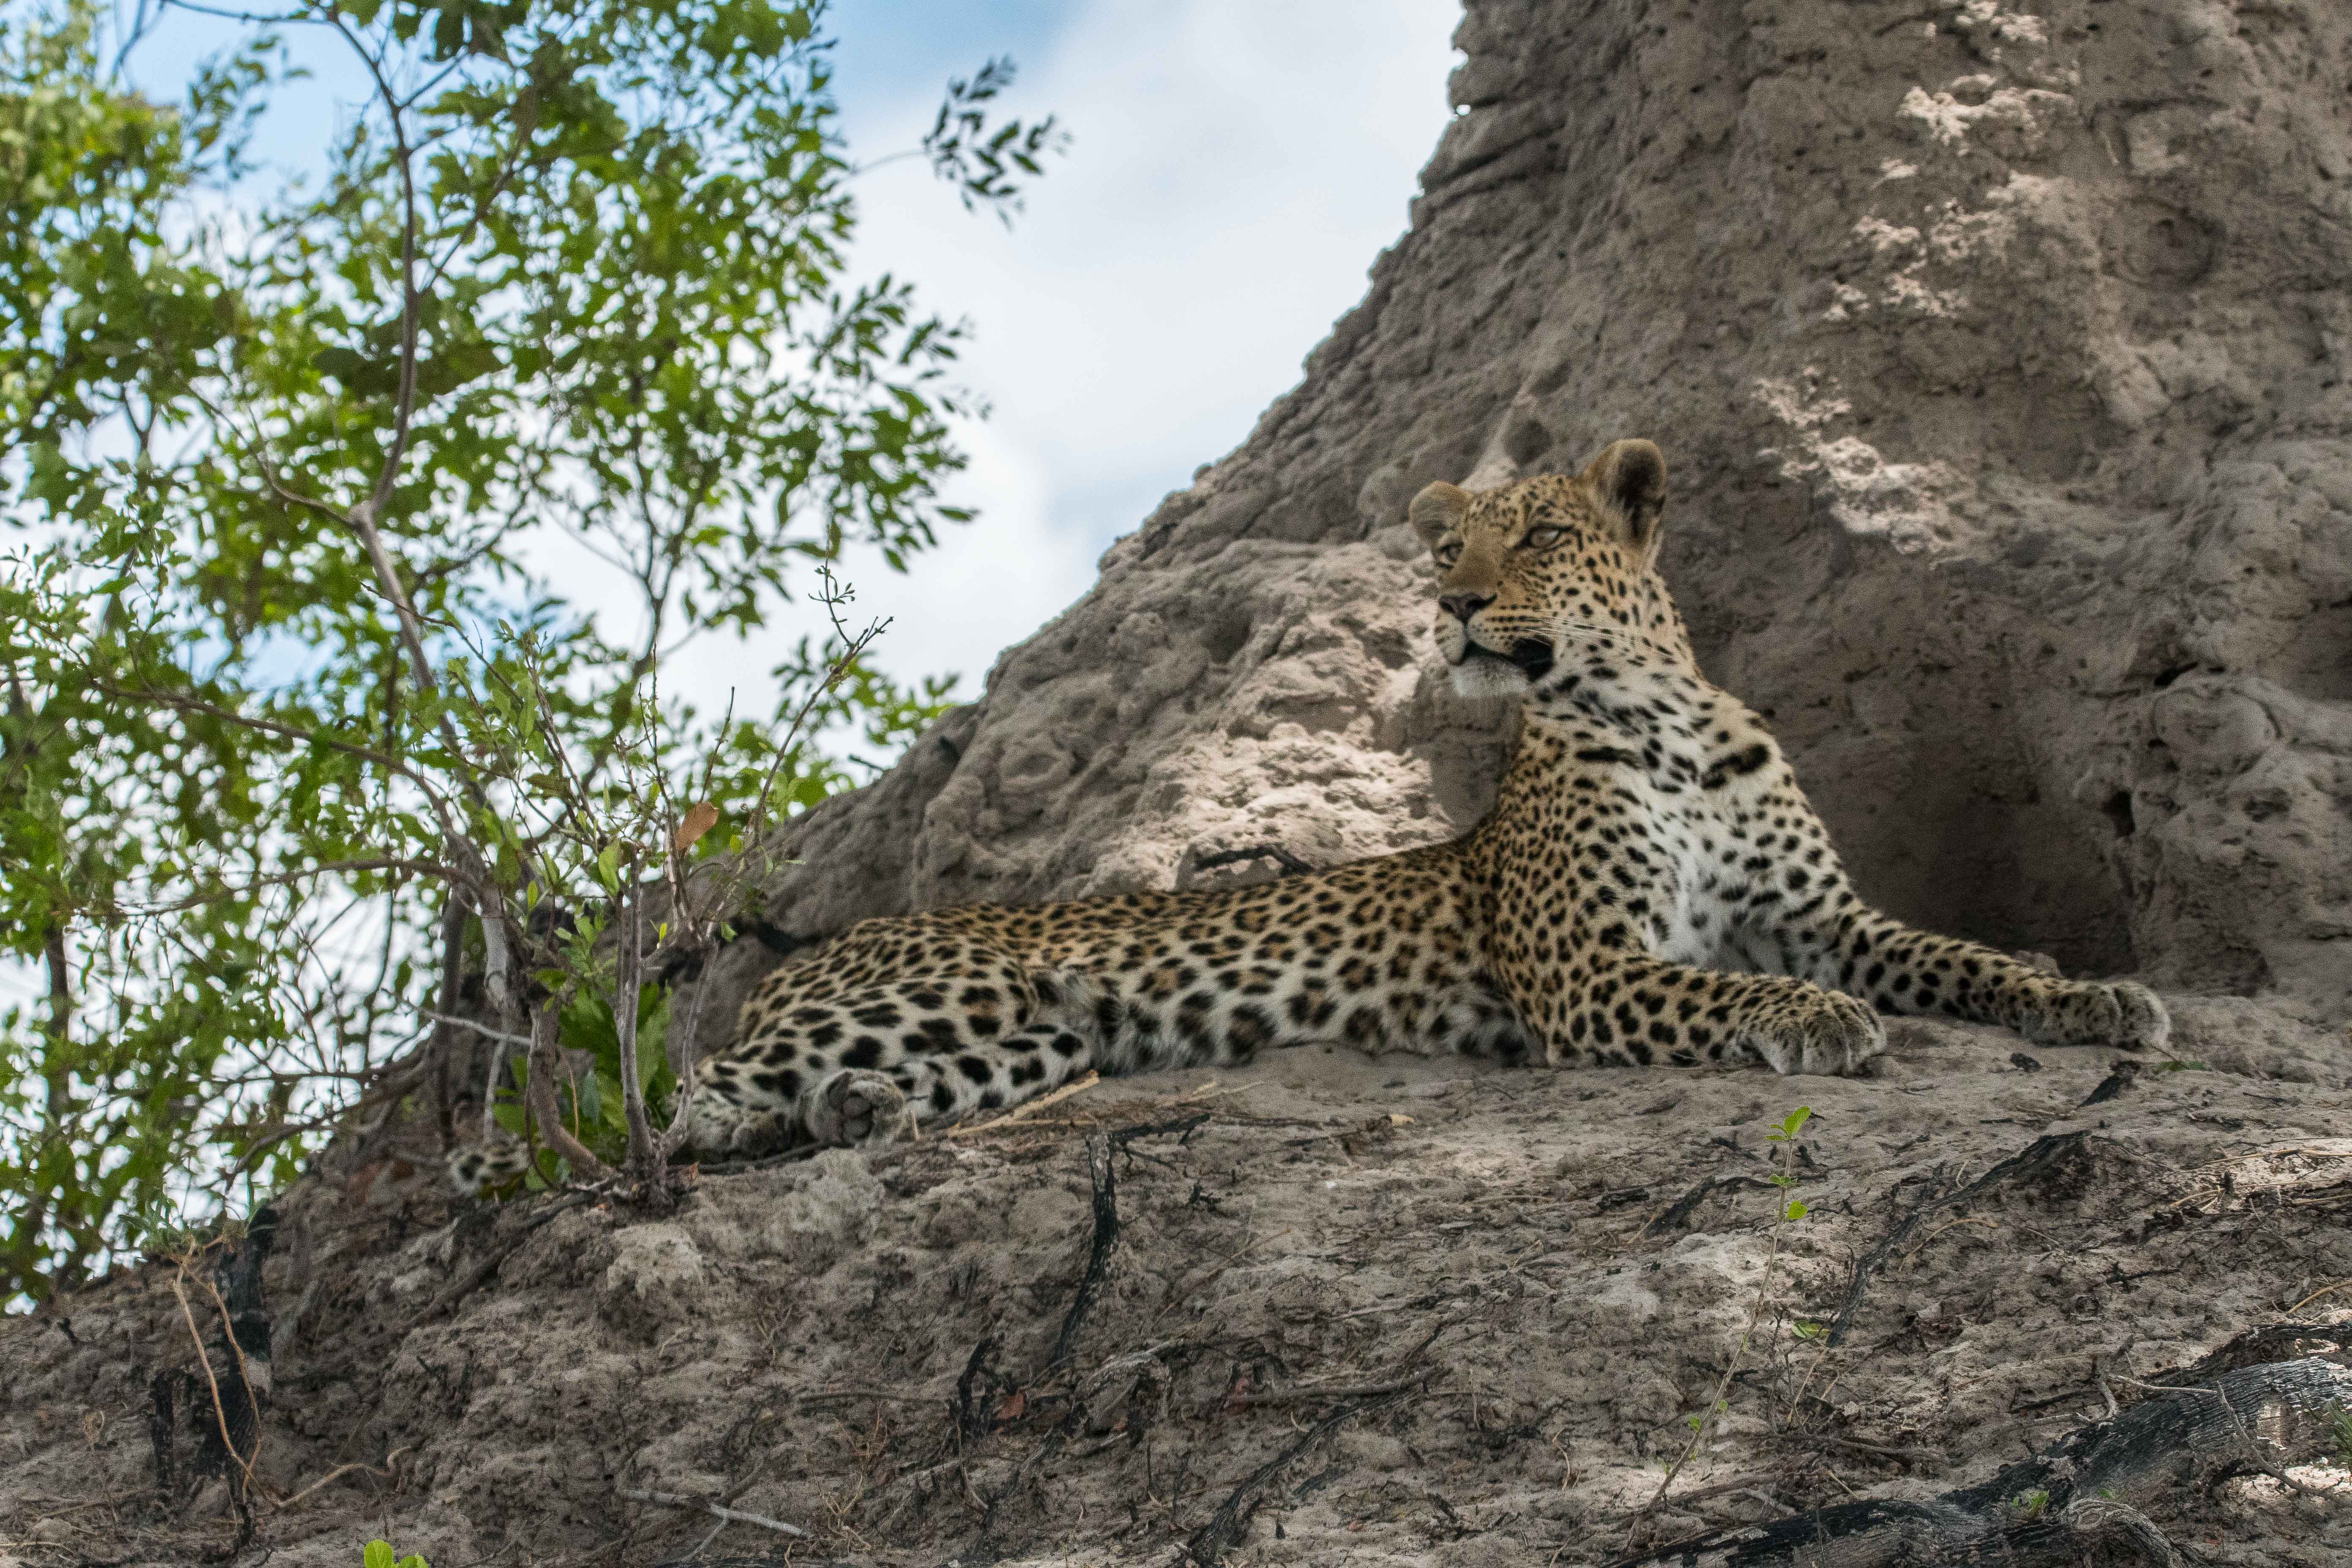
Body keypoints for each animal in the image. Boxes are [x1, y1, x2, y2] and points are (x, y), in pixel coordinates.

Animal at [454, 439, 2164, 1190]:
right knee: (678, 1101)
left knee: (806, 1096)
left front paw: (2094, 997)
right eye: (1449, 541)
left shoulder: (1830, 910)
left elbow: (1959, 955)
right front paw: (1811, 1022)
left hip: (1031, 1042)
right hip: (962, 994)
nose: (1451, 598)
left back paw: (856, 1118)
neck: (1663, 719)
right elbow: (1726, 986)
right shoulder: (1585, 972)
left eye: (1534, 535)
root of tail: (826, 941)